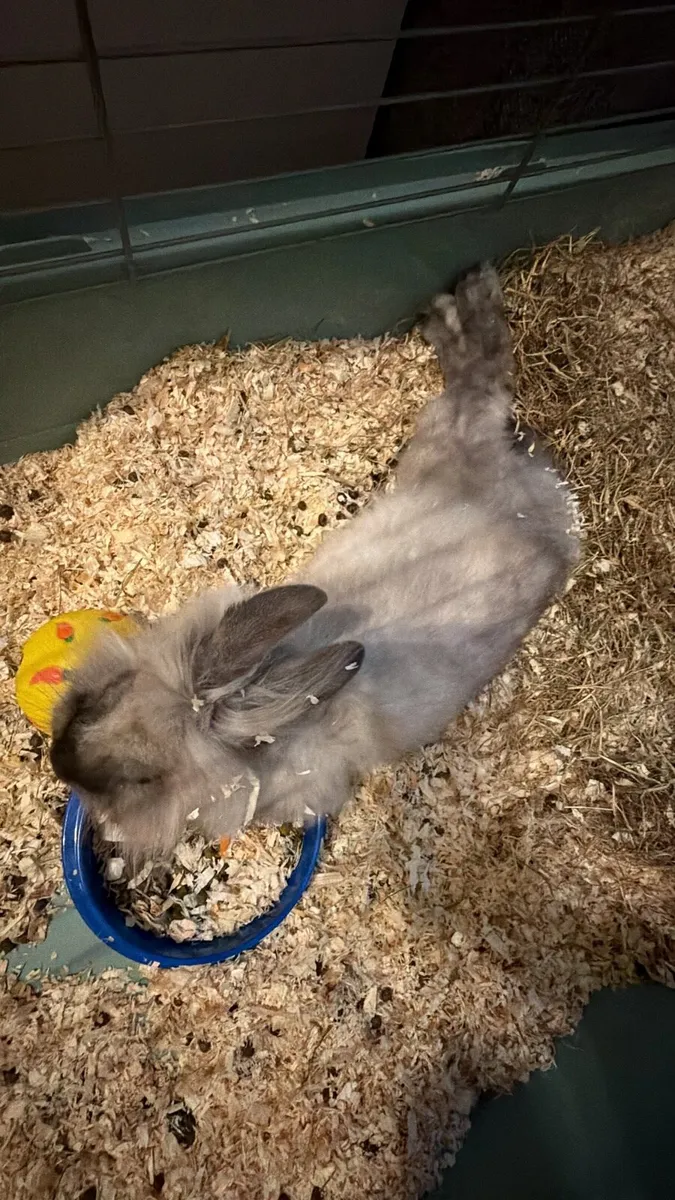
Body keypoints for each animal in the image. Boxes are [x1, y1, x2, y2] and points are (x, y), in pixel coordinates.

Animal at [50, 265, 579, 856]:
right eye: (102, 698)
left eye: (144, 779)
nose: (58, 762)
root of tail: (529, 509)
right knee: (480, 384)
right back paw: (456, 303)